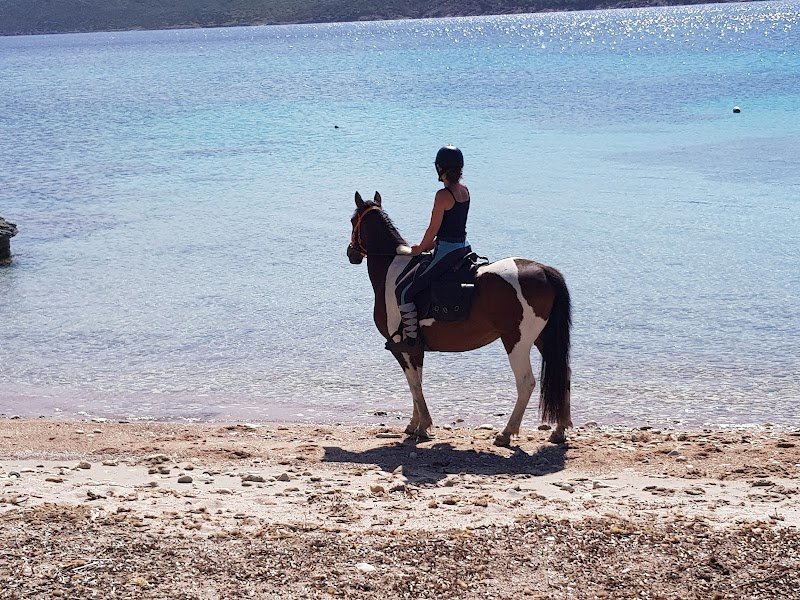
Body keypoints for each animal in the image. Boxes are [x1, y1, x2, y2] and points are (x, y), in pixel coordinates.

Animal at [347, 191, 573, 446]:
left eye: (352, 221)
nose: (351, 253)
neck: (392, 270)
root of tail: (544, 271)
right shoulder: (415, 348)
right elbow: (417, 383)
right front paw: (415, 424)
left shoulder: (400, 346)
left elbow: (414, 384)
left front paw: (423, 426)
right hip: (544, 338)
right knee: (563, 375)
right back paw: (559, 430)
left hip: (517, 341)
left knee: (526, 383)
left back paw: (506, 433)